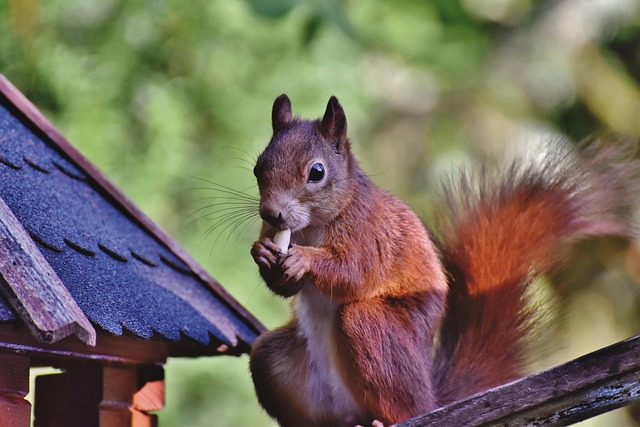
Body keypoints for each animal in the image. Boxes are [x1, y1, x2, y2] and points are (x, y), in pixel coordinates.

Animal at [248, 94, 632, 427]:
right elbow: (287, 285)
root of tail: (431, 397)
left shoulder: (371, 232)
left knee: (393, 386)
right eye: (257, 167)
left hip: (376, 334)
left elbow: (357, 273)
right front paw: (263, 254)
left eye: (317, 172)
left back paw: (385, 421)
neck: (312, 226)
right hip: (272, 359)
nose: (271, 213)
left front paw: (303, 259)